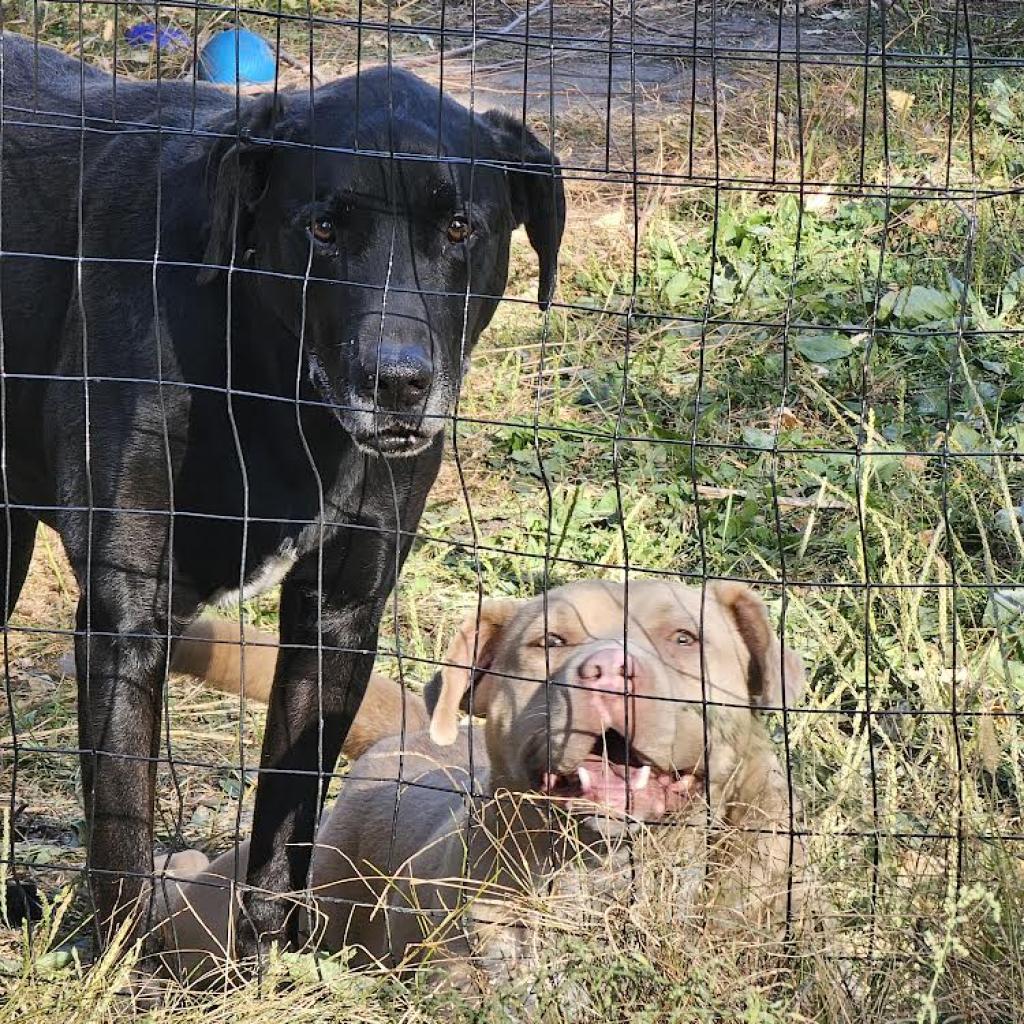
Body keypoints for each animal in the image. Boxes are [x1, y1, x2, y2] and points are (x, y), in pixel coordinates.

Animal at [0, 34, 565, 958]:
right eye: (323, 227)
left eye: (458, 228)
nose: (399, 383)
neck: (272, 384)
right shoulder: (127, 612)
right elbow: (121, 825)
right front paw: (128, 960)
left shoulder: (339, 613)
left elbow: (290, 806)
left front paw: (269, 950)